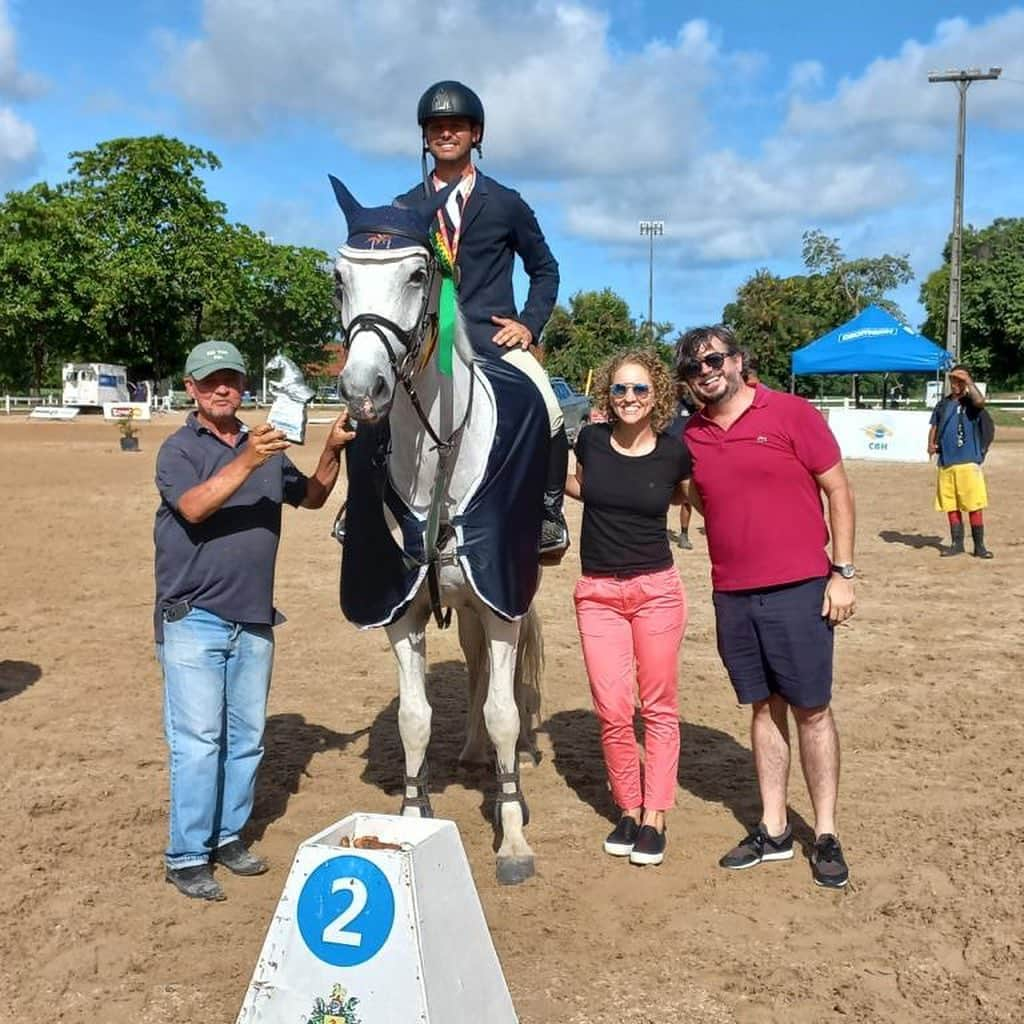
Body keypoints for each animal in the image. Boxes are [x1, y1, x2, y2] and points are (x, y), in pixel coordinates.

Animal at [333, 174, 544, 880]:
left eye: (419, 273)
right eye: (339, 276)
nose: (362, 389)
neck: (439, 455)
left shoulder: (503, 598)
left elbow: (506, 711)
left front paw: (513, 835)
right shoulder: (399, 608)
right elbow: (415, 718)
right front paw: (412, 816)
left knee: (495, 683)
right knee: (475, 669)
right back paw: (474, 753)